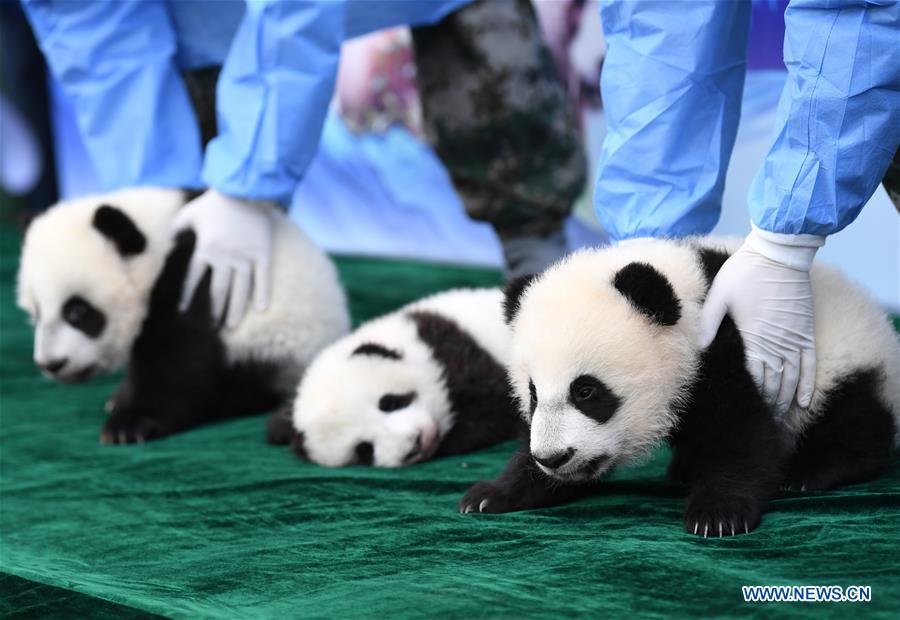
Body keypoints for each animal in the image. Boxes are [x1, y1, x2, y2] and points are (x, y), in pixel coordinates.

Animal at [17, 187, 350, 444]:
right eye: (36, 312)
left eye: (77, 311)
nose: (51, 364)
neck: (160, 241)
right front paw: (122, 403)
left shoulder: (196, 280)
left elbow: (179, 358)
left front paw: (131, 425)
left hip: (279, 342)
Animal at [459, 237, 900, 536]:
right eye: (533, 394)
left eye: (586, 391)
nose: (553, 458)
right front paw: (490, 494)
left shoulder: (722, 347)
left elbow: (740, 432)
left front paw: (717, 514)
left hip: (836, 368)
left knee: (853, 419)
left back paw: (813, 470)